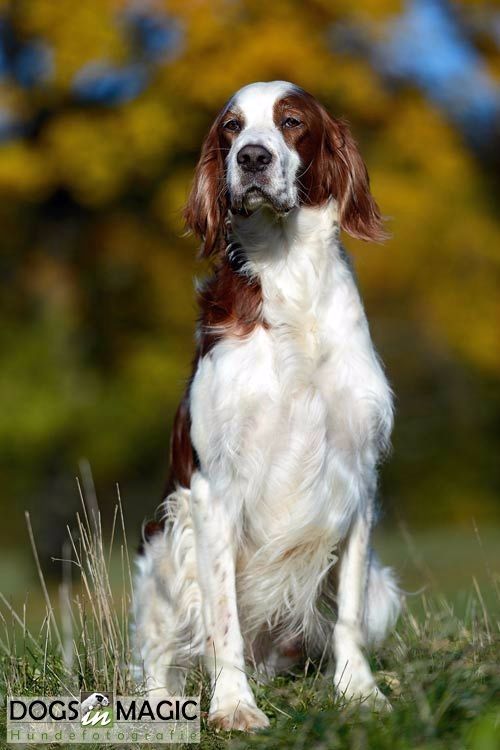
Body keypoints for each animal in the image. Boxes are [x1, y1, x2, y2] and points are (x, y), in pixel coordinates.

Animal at [134, 82, 402, 736]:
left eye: (293, 121)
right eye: (231, 128)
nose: (252, 158)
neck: (288, 273)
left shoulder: (358, 476)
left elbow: (348, 615)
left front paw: (361, 694)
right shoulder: (213, 491)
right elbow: (222, 618)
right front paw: (233, 707)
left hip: (383, 587)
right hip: (163, 553)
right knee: (160, 656)